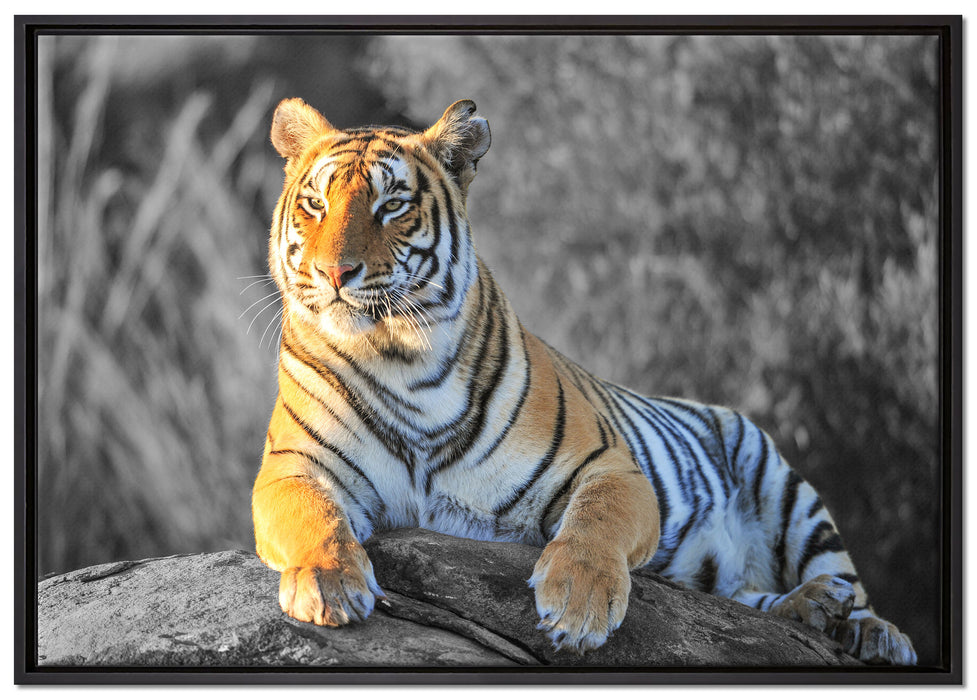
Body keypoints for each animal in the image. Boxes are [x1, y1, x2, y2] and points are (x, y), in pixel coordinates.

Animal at [251, 97, 917, 665]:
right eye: (315, 205)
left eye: (391, 205)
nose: (334, 272)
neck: (400, 359)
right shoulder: (292, 468)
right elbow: (313, 516)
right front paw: (329, 584)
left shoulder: (611, 467)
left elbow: (596, 522)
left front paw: (578, 604)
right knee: (742, 597)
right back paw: (813, 609)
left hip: (784, 486)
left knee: (846, 582)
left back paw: (867, 629)